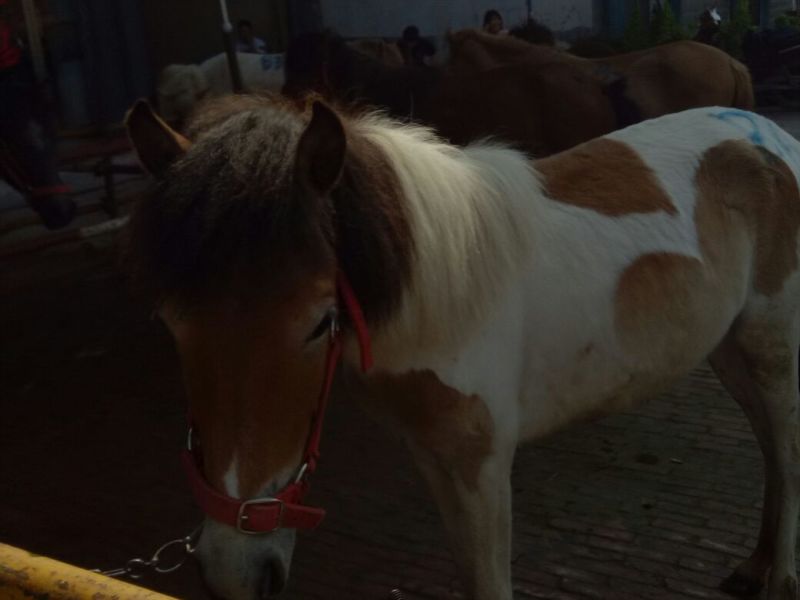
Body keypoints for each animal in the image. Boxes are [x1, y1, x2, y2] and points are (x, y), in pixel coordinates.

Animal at [124, 94, 800, 600]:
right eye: (169, 322)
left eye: (321, 322)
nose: (234, 571)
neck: (445, 290)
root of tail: (770, 137)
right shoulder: (432, 456)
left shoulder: (483, 466)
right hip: (727, 351)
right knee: (770, 447)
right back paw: (755, 564)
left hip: (771, 353)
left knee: (787, 452)